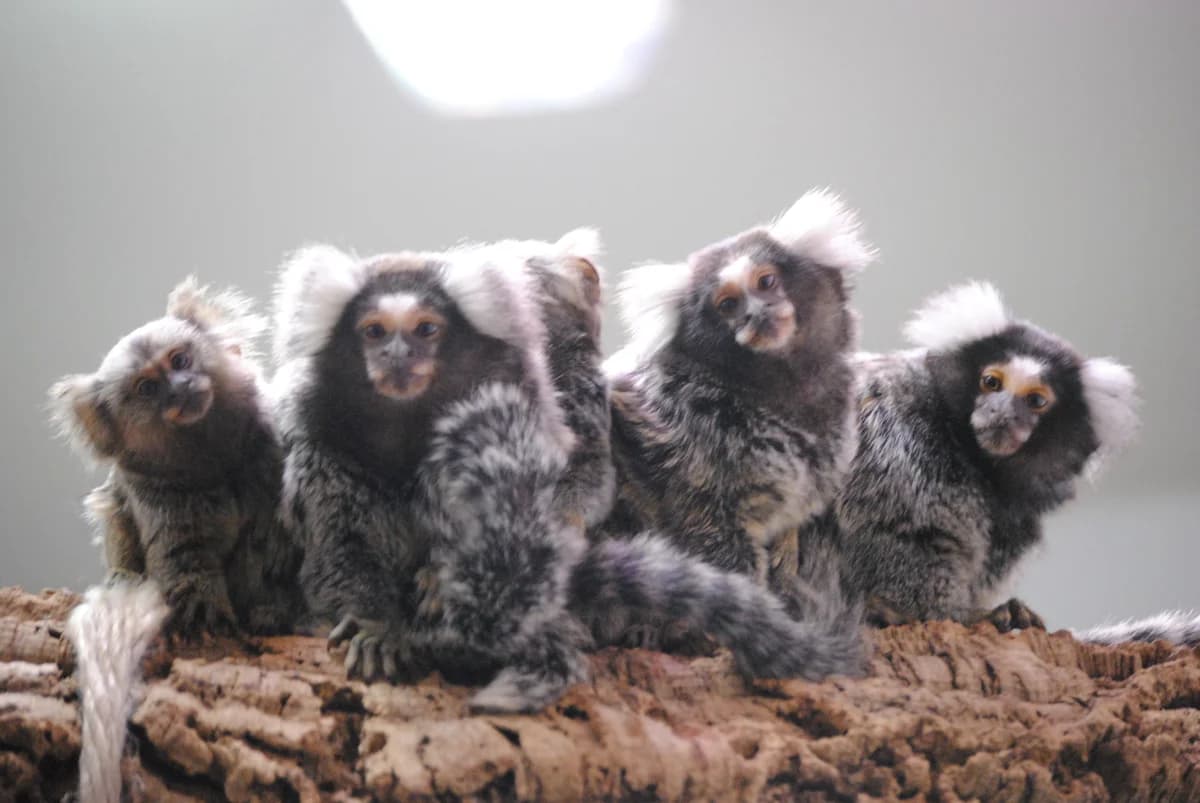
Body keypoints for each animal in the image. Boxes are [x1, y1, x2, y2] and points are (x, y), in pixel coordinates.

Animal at [49, 277, 302, 637]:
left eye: (180, 361)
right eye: (147, 388)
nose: (180, 387)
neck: (212, 459)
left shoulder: (267, 449)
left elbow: (268, 535)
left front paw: (271, 607)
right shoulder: (154, 488)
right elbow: (181, 550)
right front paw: (201, 607)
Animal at [781, 282, 1140, 631]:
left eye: (1036, 400)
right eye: (991, 382)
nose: (1002, 413)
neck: (971, 455)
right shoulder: (897, 432)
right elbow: (898, 529)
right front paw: (957, 615)